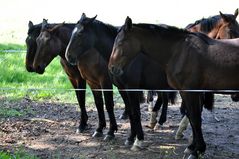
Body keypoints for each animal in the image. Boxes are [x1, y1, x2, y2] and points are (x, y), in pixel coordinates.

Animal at [64, 13, 176, 149]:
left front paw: (117, 134)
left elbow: (126, 110)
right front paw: (130, 137)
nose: (68, 56)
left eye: (80, 33)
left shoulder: (125, 86)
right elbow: (127, 111)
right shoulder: (117, 87)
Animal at [109, 16, 239, 158]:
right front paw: (192, 147)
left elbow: (195, 119)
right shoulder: (186, 92)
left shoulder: (191, 92)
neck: (179, 52)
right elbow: (192, 118)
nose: (112, 67)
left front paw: (198, 150)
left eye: (120, 42)